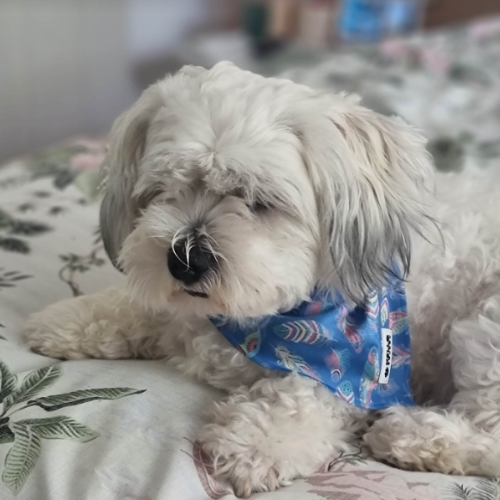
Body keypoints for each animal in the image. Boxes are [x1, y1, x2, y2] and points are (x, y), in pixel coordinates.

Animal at [24, 61, 500, 496]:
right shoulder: (182, 312)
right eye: (164, 189)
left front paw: (252, 444)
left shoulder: (353, 375)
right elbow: (140, 308)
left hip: (486, 327)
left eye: (258, 201)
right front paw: (66, 320)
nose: (186, 261)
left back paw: (412, 436)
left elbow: (303, 399)